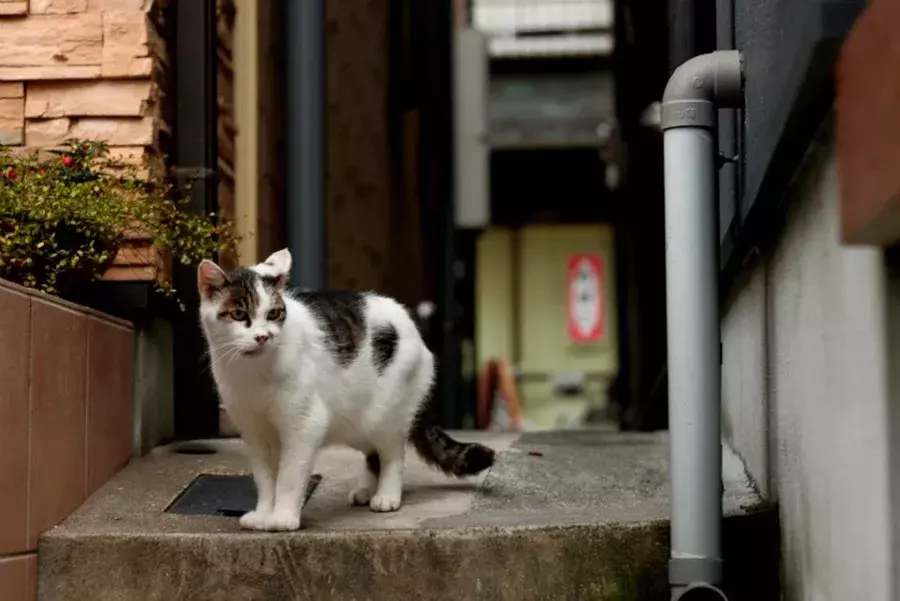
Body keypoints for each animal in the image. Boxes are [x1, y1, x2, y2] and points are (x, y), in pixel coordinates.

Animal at [197, 248, 496, 528]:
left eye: (273, 314)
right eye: (239, 314)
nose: (263, 336)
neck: (252, 373)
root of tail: (414, 328)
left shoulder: (305, 425)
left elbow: (289, 477)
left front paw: (282, 518)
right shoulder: (255, 434)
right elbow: (265, 479)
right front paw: (263, 515)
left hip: (384, 414)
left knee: (392, 454)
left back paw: (386, 496)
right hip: (353, 419)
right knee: (373, 454)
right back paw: (366, 490)